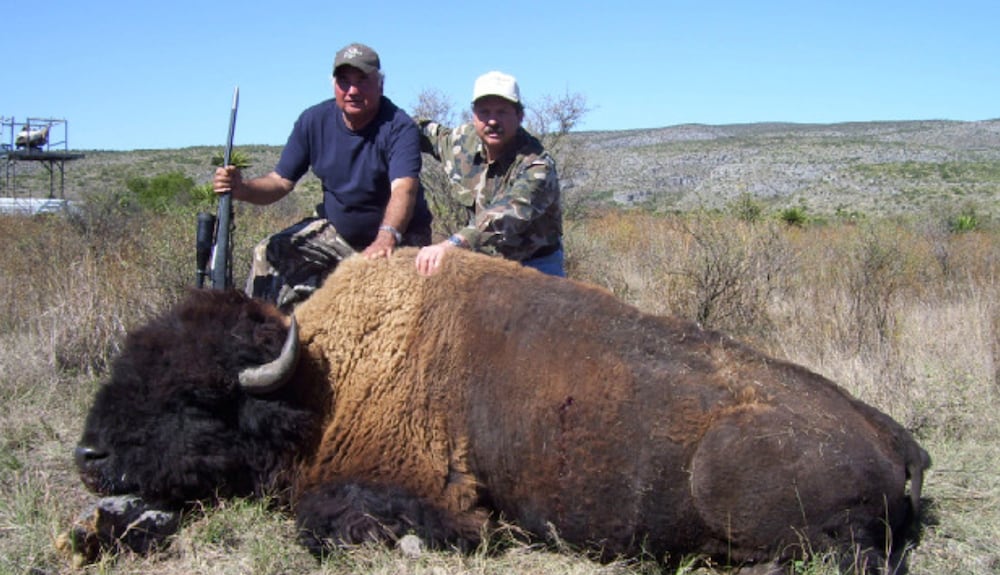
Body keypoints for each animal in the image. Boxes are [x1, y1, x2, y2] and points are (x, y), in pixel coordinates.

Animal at [70, 248, 928, 572]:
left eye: (193, 398)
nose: (90, 457)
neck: (320, 382)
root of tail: (897, 443)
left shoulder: (427, 492)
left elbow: (329, 520)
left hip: (735, 483)